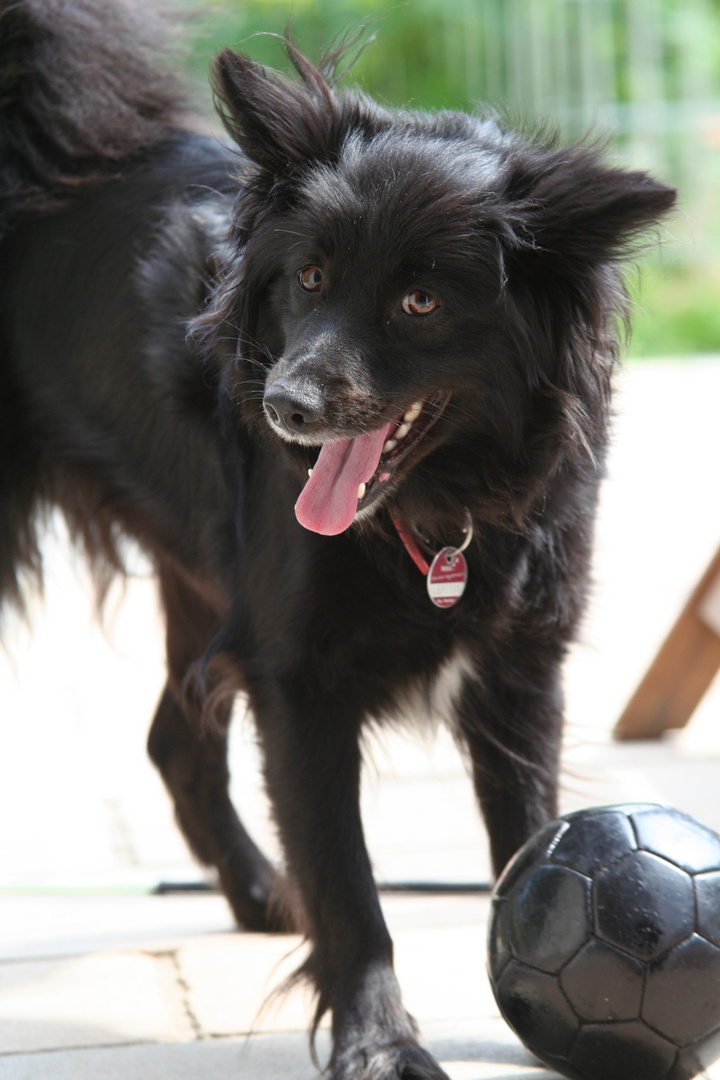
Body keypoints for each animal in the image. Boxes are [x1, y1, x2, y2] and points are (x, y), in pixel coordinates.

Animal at [0, 2, 677, 1080]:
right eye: (310, 277)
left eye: (421, 300)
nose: (284, 406)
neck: (438, 510)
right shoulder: (298, 680)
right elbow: (351, 890)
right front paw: (380, 1045)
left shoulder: (522, 671)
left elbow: (528, 843)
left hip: (207, 580)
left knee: (172, 740)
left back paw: (258, 894)